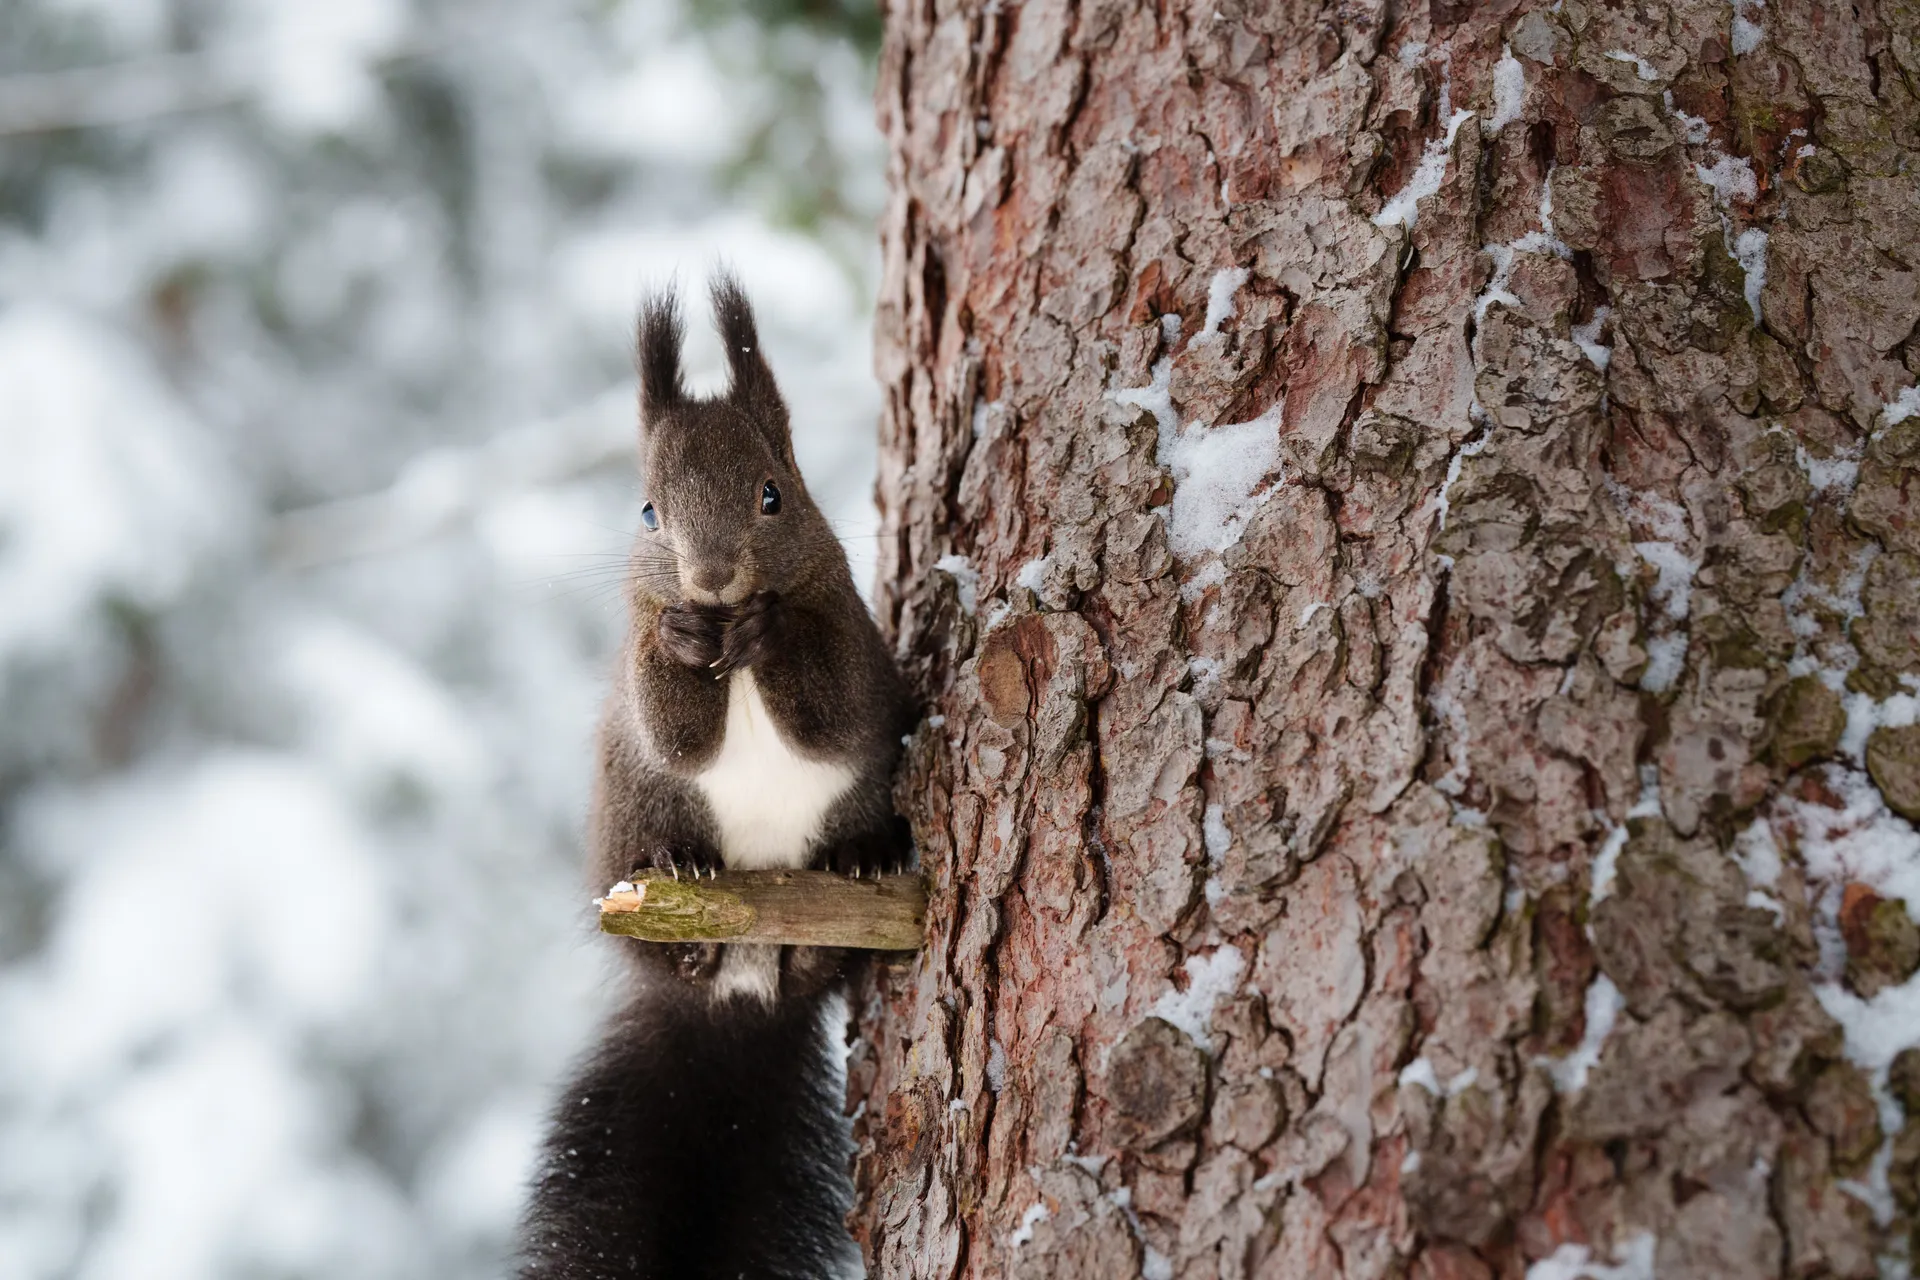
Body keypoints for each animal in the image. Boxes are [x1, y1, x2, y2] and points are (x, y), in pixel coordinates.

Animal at [517, 275, 913, 1280]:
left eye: (774, 494)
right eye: (648, 512)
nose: (711, 575)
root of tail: (740, 1001)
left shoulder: (853, 636)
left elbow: (835, 710)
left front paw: (765, 632)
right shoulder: (640, 663)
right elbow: (674, 732)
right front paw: (685, 639)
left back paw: (852, 874)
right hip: (626, 842)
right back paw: (687, 901)